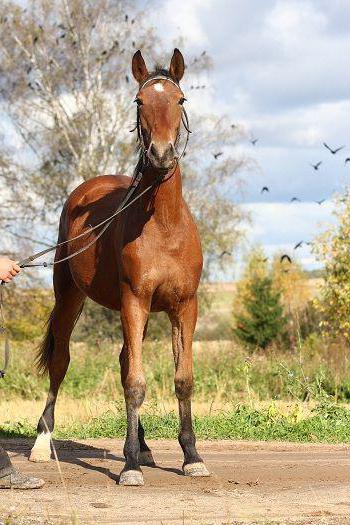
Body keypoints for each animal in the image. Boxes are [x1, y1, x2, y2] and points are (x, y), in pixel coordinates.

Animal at [28, 50, 209, 488]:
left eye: (180, 99)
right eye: (139, 101)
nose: (160, 155)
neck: (163, 226)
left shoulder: (184, 307)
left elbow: (182, 380)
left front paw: (191, 456)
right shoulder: (134, 301)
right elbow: (135, 383)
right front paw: (128, 467)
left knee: (127, 357)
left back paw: (142, 446)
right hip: (70, 296)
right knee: (61, 361)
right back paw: (43, 441)